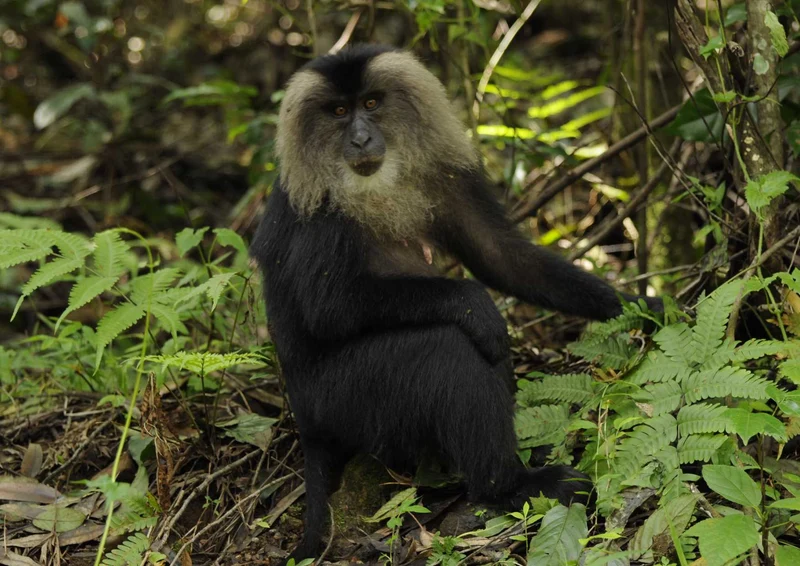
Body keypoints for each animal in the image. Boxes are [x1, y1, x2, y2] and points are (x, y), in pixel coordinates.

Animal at [250, 44, 662, 563]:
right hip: (343, 399)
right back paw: (508, 486)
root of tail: (305, 422)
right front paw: (475, 304)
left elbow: (501, 257)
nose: (361, 139)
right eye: (339, 112)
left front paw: (641, 307)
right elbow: (331, 308)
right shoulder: (319, 210)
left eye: (371, 104)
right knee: (448, 349)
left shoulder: (440, 175)